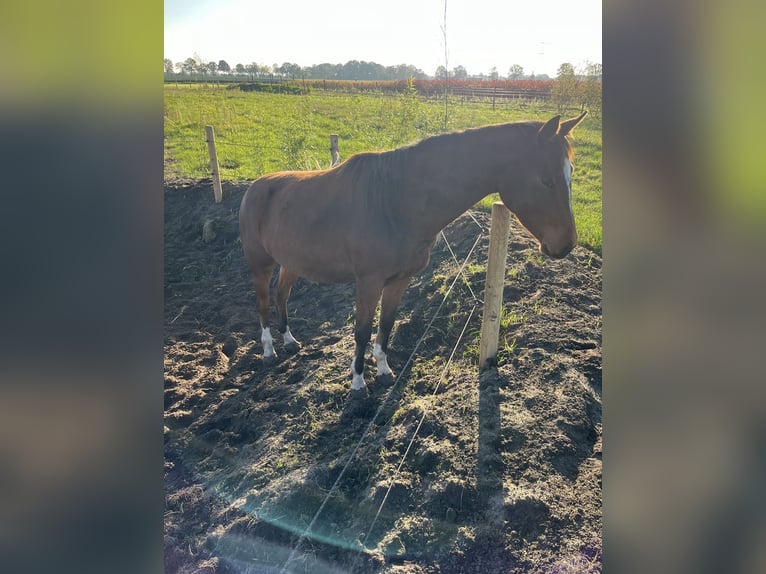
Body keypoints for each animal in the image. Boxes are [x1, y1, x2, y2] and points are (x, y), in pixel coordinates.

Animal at [240, 112, 588, 392]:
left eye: (570, 175)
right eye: (546, 180)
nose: (567, 245)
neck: (396, 201)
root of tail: (256, 187)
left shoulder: (400, 280)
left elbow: (386, 325)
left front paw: (383, 370)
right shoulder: (368, 282)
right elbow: (362, 331)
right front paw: (358, 383)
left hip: (291, 263)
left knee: (282, 294)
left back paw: (289, 341)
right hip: (260, 263)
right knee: (262, 303)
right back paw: (269, 350)